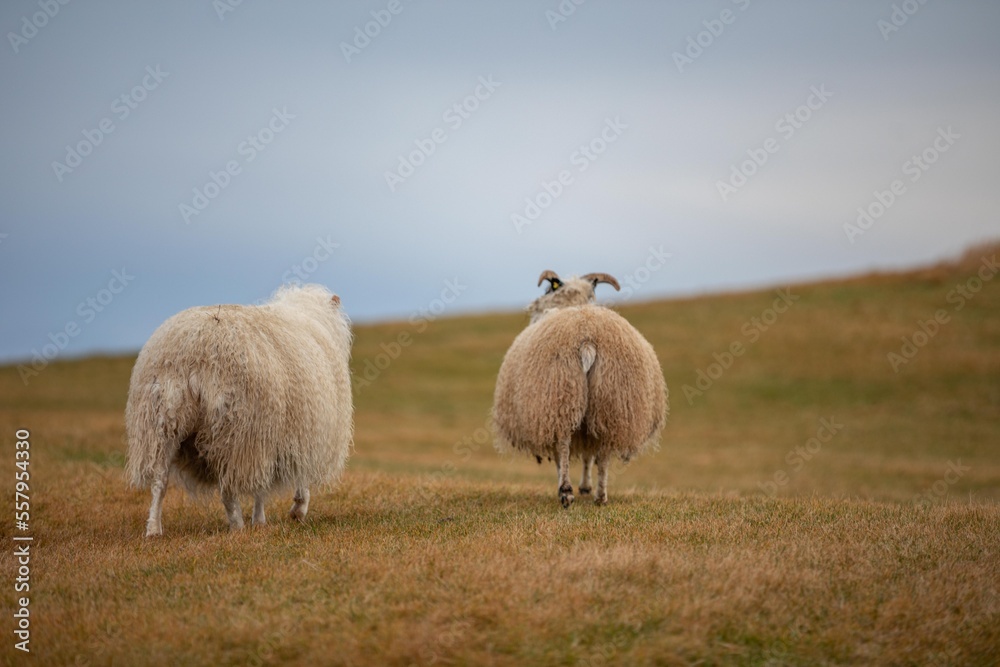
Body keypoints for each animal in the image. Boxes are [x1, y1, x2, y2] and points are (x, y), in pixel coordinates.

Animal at [124, 286, 354, 536]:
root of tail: (195, 351)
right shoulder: (290, 433)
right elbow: (284, 480)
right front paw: (292, 510)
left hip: (161, 424)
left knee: (160, 481)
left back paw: (153, 528)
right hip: (237, 429)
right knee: (228, 487)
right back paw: (237, 524)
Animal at [490, 272, 664, 506]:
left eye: (548, 290)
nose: (531, 307)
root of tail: (587, 340)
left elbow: (561, 454)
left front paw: (570, 486)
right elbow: (589, 456)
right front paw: (586, 486)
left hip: (561, 395)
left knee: (563, 443)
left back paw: (566, 491)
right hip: (611, 402)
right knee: (604, 451)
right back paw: (600, 496)